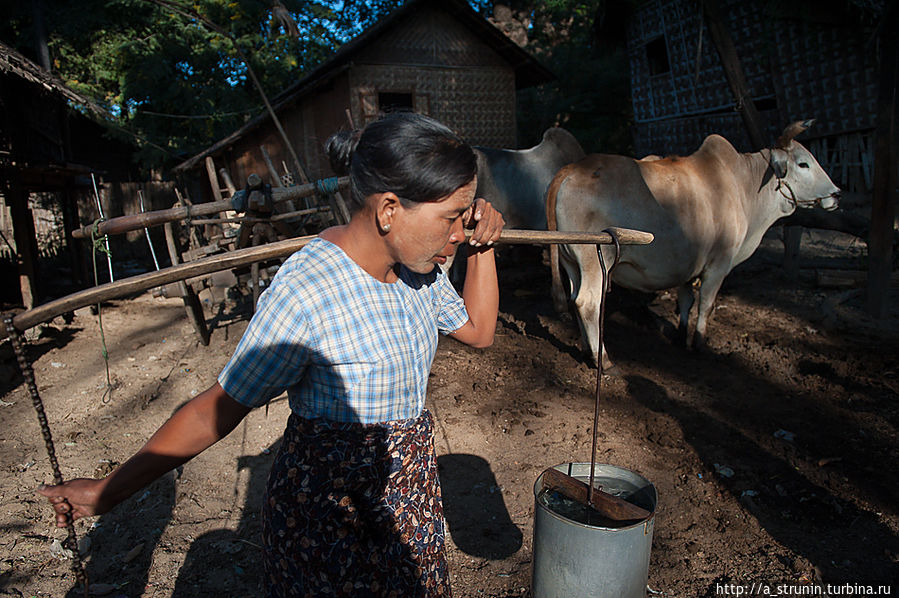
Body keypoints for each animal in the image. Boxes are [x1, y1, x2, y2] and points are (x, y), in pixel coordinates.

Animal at [548, 120, 844, 372]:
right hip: (595, 262)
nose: (837, 193)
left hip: (571, 262)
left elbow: (686, 300)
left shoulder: (687, 264)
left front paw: (681, 337)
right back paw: (604, 360)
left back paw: (587, 352)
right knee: (588, 302)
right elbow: (707, 304)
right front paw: (700, 344)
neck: (743, 185)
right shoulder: (719, 263)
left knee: (575, 299)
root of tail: (571, 169)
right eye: (804, 164)